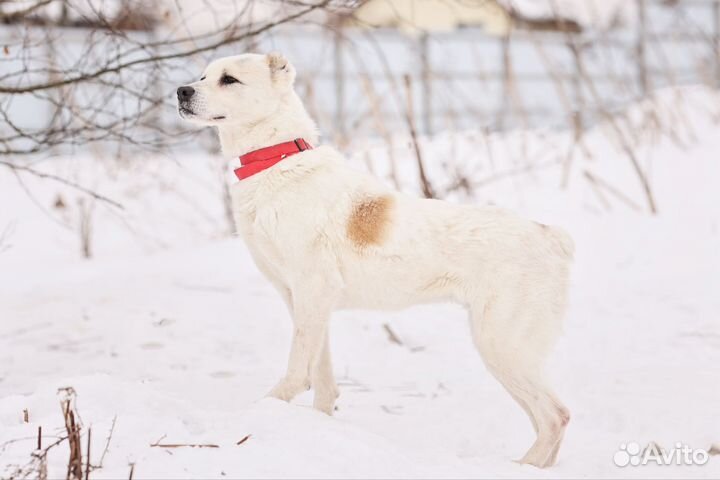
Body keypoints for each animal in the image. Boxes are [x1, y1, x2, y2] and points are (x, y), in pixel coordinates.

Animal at [179, 53, 572, 468]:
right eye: (202, 76)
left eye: (229, 79)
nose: (181, 91)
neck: (275, 161)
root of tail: (551, 236)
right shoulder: (303, 298)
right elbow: (322, 375)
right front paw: (320, 427)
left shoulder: (312, 289)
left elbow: (298, 370)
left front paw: (261, 414)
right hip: (509, 353)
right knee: (549, 419)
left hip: (502, 345)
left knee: (555, 416)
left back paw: (523, 466)